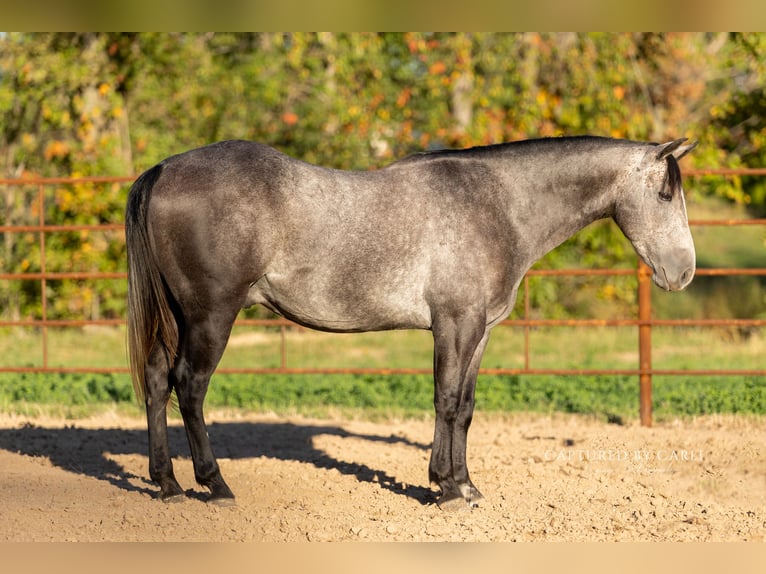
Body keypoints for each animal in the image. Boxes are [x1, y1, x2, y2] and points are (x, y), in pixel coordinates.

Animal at [127, 136, 704, 512]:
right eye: (664, 194)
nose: (683, 273)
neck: (494, 205)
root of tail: (164, 169)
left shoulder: (479, 331)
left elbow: (465, 408)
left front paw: (466, 486)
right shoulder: (454, 324)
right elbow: (445, 401)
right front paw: (444, 489)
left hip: (177, 317)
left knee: (156, 381)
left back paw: (167, 485)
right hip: (211, 316)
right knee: (190, 387)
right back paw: (215, 485)